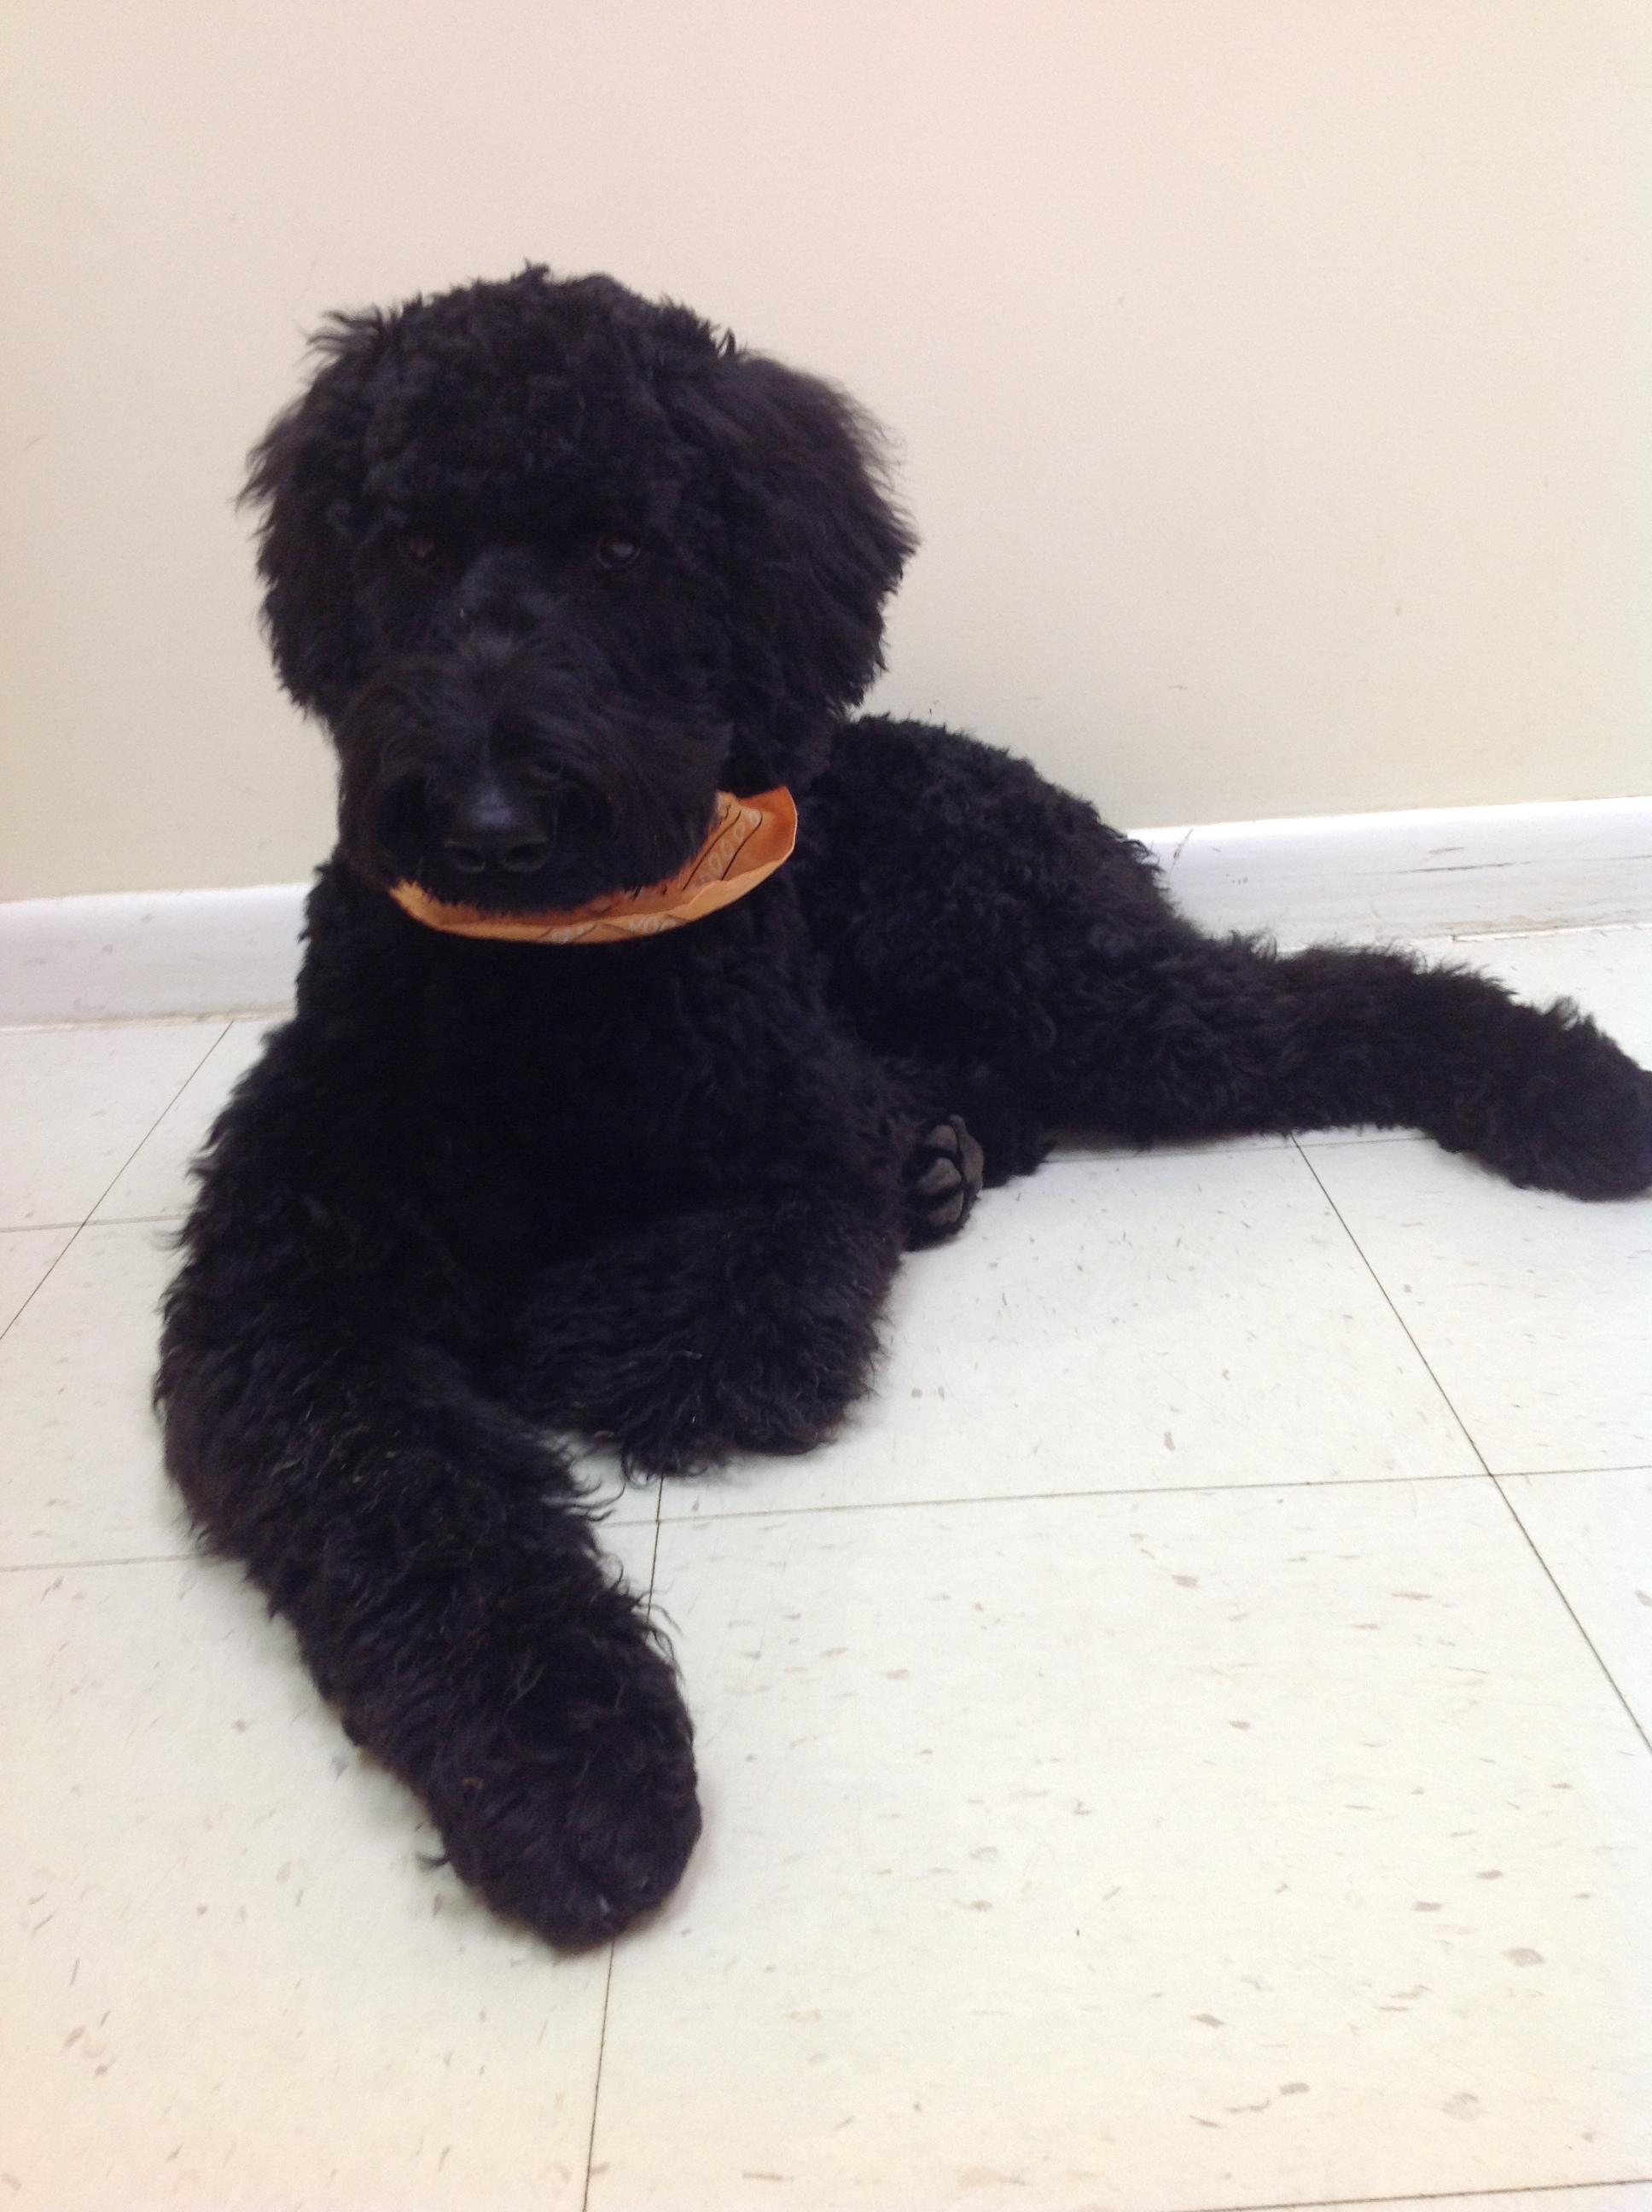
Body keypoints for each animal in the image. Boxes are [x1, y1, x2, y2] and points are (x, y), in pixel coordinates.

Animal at [158, 267, 1652, 1946]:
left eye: (619, 547)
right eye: (410, 545)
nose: (487, 822)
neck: (558, 986)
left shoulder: (798, 1165)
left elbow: (691, 1323)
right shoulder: (292, 1292)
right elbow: (408, 1506)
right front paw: (569, 1775)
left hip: (1063, 970)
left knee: (1328, 1001)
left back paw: (1574, 1095)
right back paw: (953, 1158)